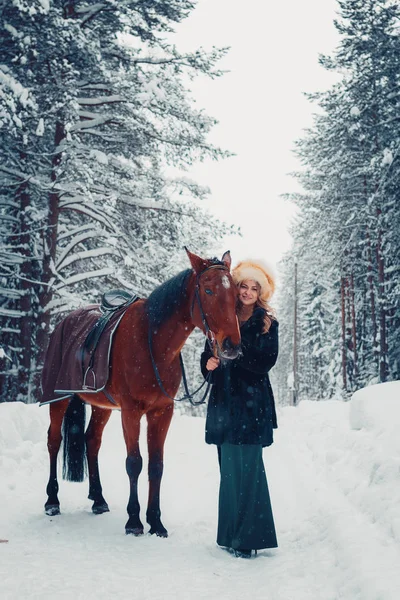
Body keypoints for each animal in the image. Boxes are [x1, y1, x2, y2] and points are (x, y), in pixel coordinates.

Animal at [43, 246, 241, 536]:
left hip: (102, 406)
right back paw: (52, 500)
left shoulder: (161, 412)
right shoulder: (131, 411)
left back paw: (98, 499)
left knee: (92, 440)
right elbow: (134, 462)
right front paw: (134, 521)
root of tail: (63, 322)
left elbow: (156, 465)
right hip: (58, 397)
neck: (153, 342)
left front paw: (156, 522)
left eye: (236, 293)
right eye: (208, 290)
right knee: (54, 441)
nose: (231, 346)